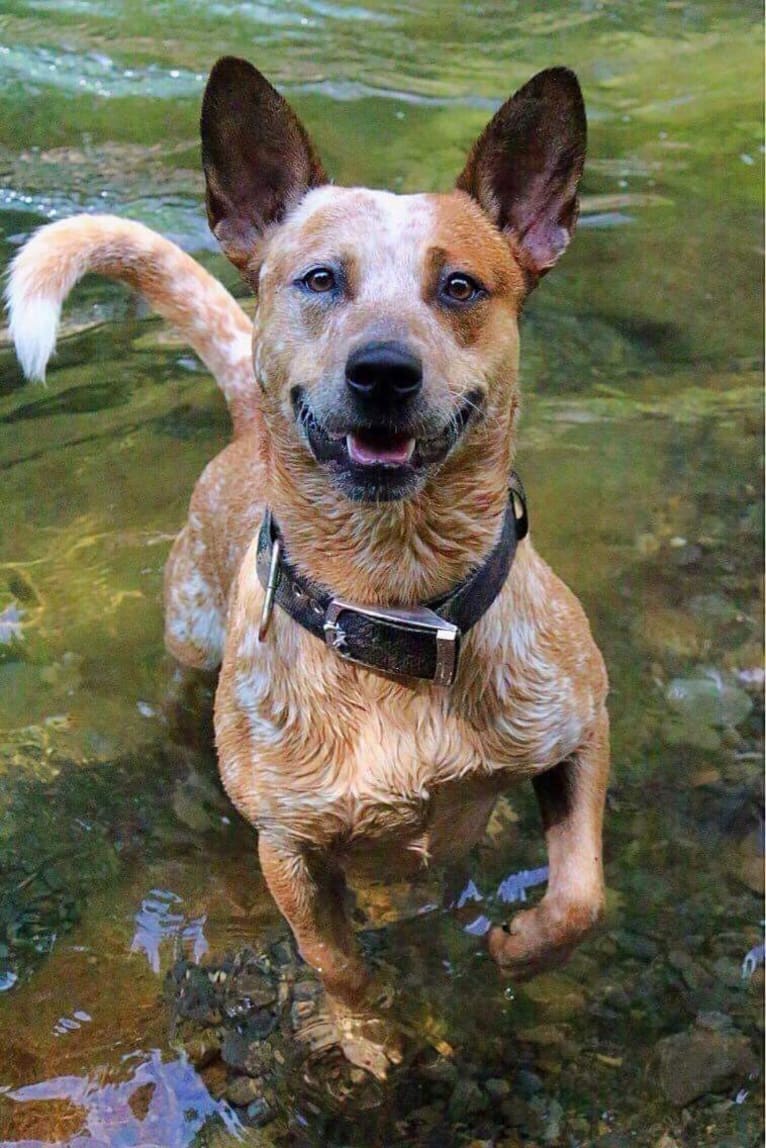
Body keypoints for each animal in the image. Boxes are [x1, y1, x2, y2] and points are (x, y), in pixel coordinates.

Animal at [4, 55, 606, 1074]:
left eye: (460, 287)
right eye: (320, 279)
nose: (383, 370)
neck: (395, 605)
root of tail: (247, 423)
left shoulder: (581, 726)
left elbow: (579, 893)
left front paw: (522, 949)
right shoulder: (285, 846)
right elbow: (335, 959)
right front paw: (370, 1038)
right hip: (190, 641)